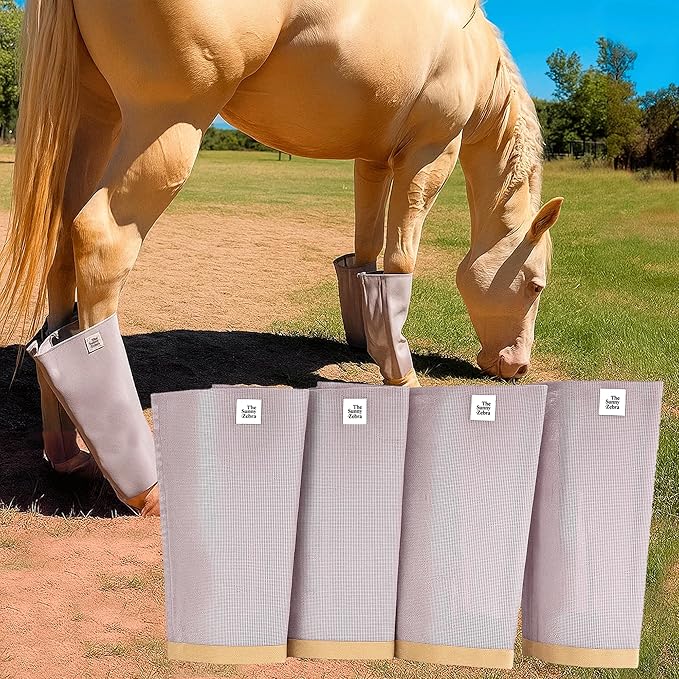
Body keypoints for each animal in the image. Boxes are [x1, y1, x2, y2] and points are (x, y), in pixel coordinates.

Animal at [0, 0, 563, 515]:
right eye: (536, 285)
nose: (516, 366)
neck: (470, 49)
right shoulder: (429, 155)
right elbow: (401, 261)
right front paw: (402, 376)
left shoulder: (374, 162)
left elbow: (367, 257)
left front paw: (373, 346)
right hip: (164, 128)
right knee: (100, 243)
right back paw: (142, 487)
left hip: (96, 116)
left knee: (61, 246)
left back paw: (68, 452)